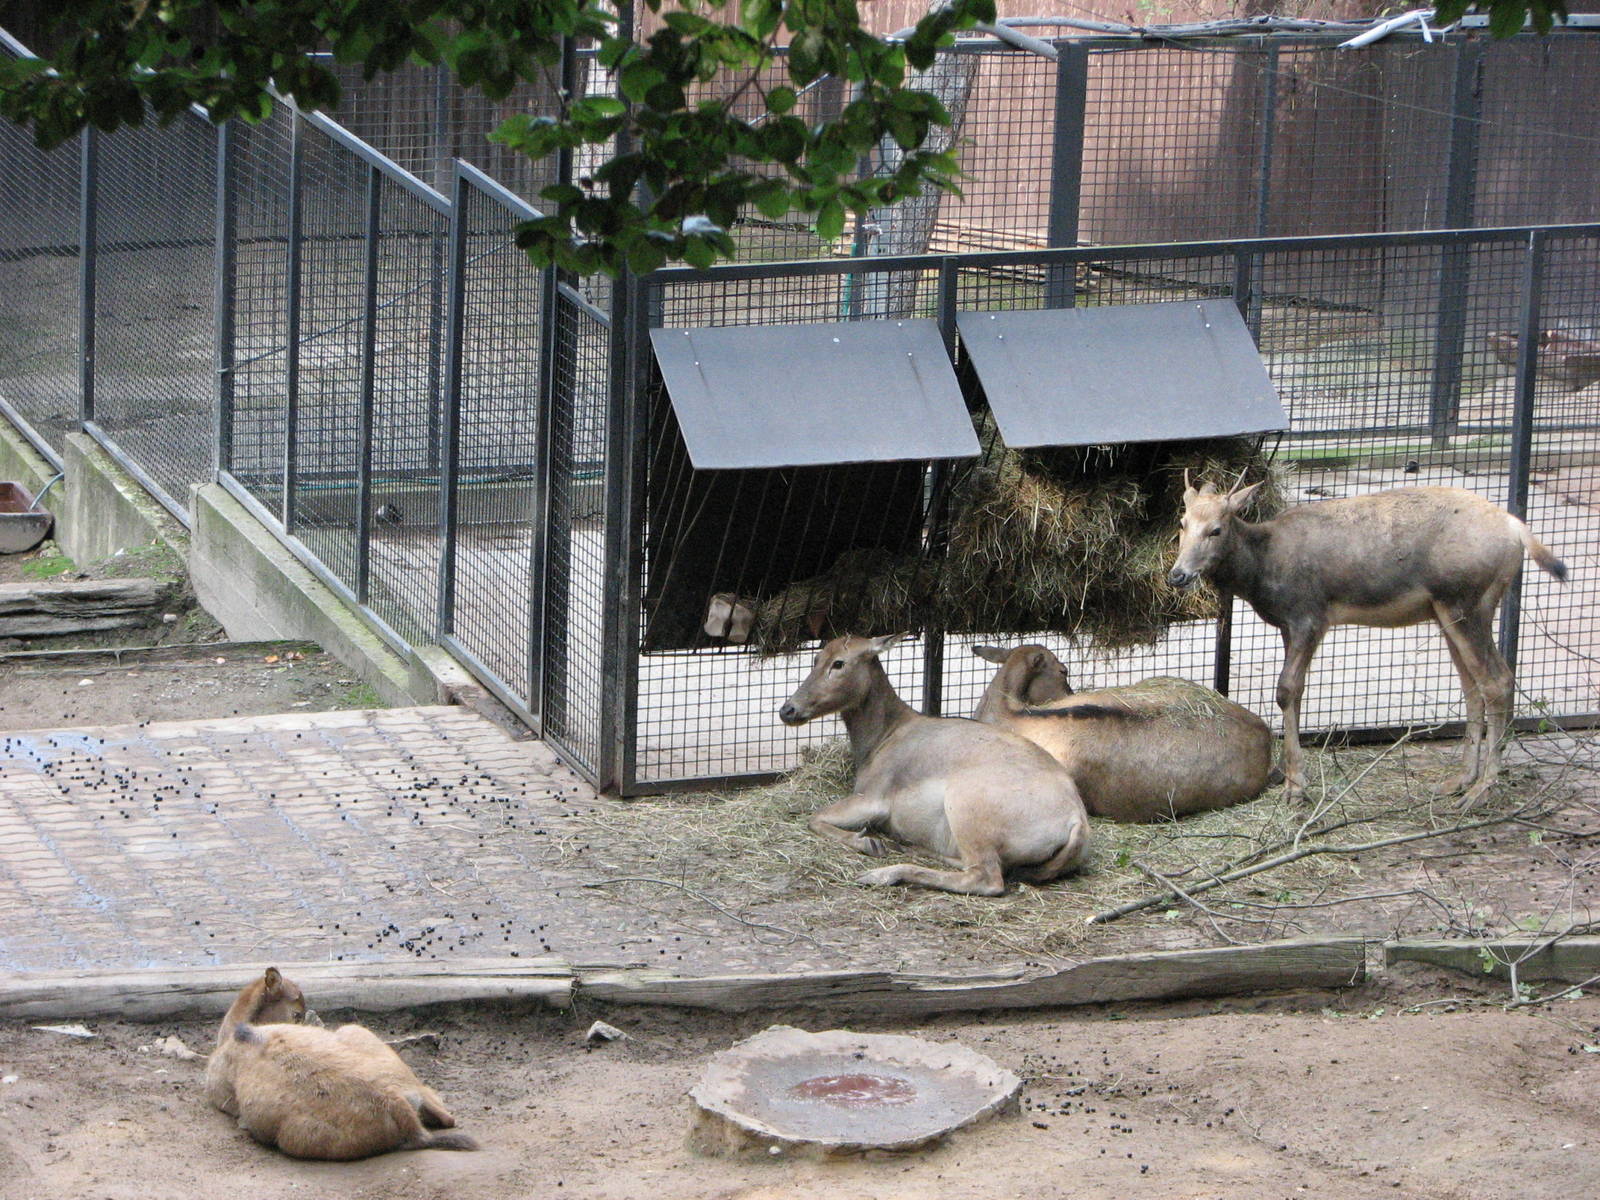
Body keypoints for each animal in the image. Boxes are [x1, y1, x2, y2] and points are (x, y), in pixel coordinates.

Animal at [777, 633, 1090, 896]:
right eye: (816, 659)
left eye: (839, 663)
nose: (787, 710)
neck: (883, 737)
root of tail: (1077, 821)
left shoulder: (872, 799)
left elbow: (814, 818)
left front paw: (870, 842)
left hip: (965, 809)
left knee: (986, 878)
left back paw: (881, 873)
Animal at [1167, 478, 1568, 806]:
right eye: (1183, 524)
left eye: (1216, 529)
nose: (1178, 575)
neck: (1263, 571)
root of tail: (1519, 532)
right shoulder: (1288, 625)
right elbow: (1295, 694)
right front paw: (1290, 778)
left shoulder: (1310, 617)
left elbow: (1286, 690)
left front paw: (1296, 787)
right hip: (1446, 612)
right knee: (1472, 686)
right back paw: (1459, 781)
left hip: (1467, 600)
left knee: (1497, 680)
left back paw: (1482, 790)